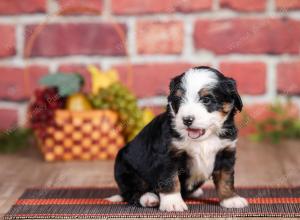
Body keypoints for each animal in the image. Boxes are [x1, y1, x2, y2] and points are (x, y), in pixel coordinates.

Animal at [107, 66, 248, 211]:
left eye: (206, 100)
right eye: (179, 99)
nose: (187, 120)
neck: (204, 139)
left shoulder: (225, 152)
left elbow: (226, 178)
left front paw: (230, 199)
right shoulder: (167, 155)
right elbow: (170, 179)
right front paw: (172, 202)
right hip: (124, 169)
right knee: (132, 191)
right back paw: (149, 198)